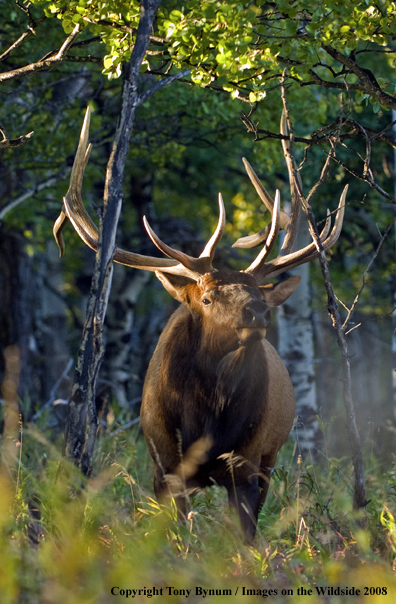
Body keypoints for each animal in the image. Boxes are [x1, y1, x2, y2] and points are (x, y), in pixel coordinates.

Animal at [55, 107, 346, 544]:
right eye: (206, 298)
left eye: (259, 294)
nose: (257, 313)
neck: (205, 417)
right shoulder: (163, 464)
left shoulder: (247, 463)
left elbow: (245, 537)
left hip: (270, 457)